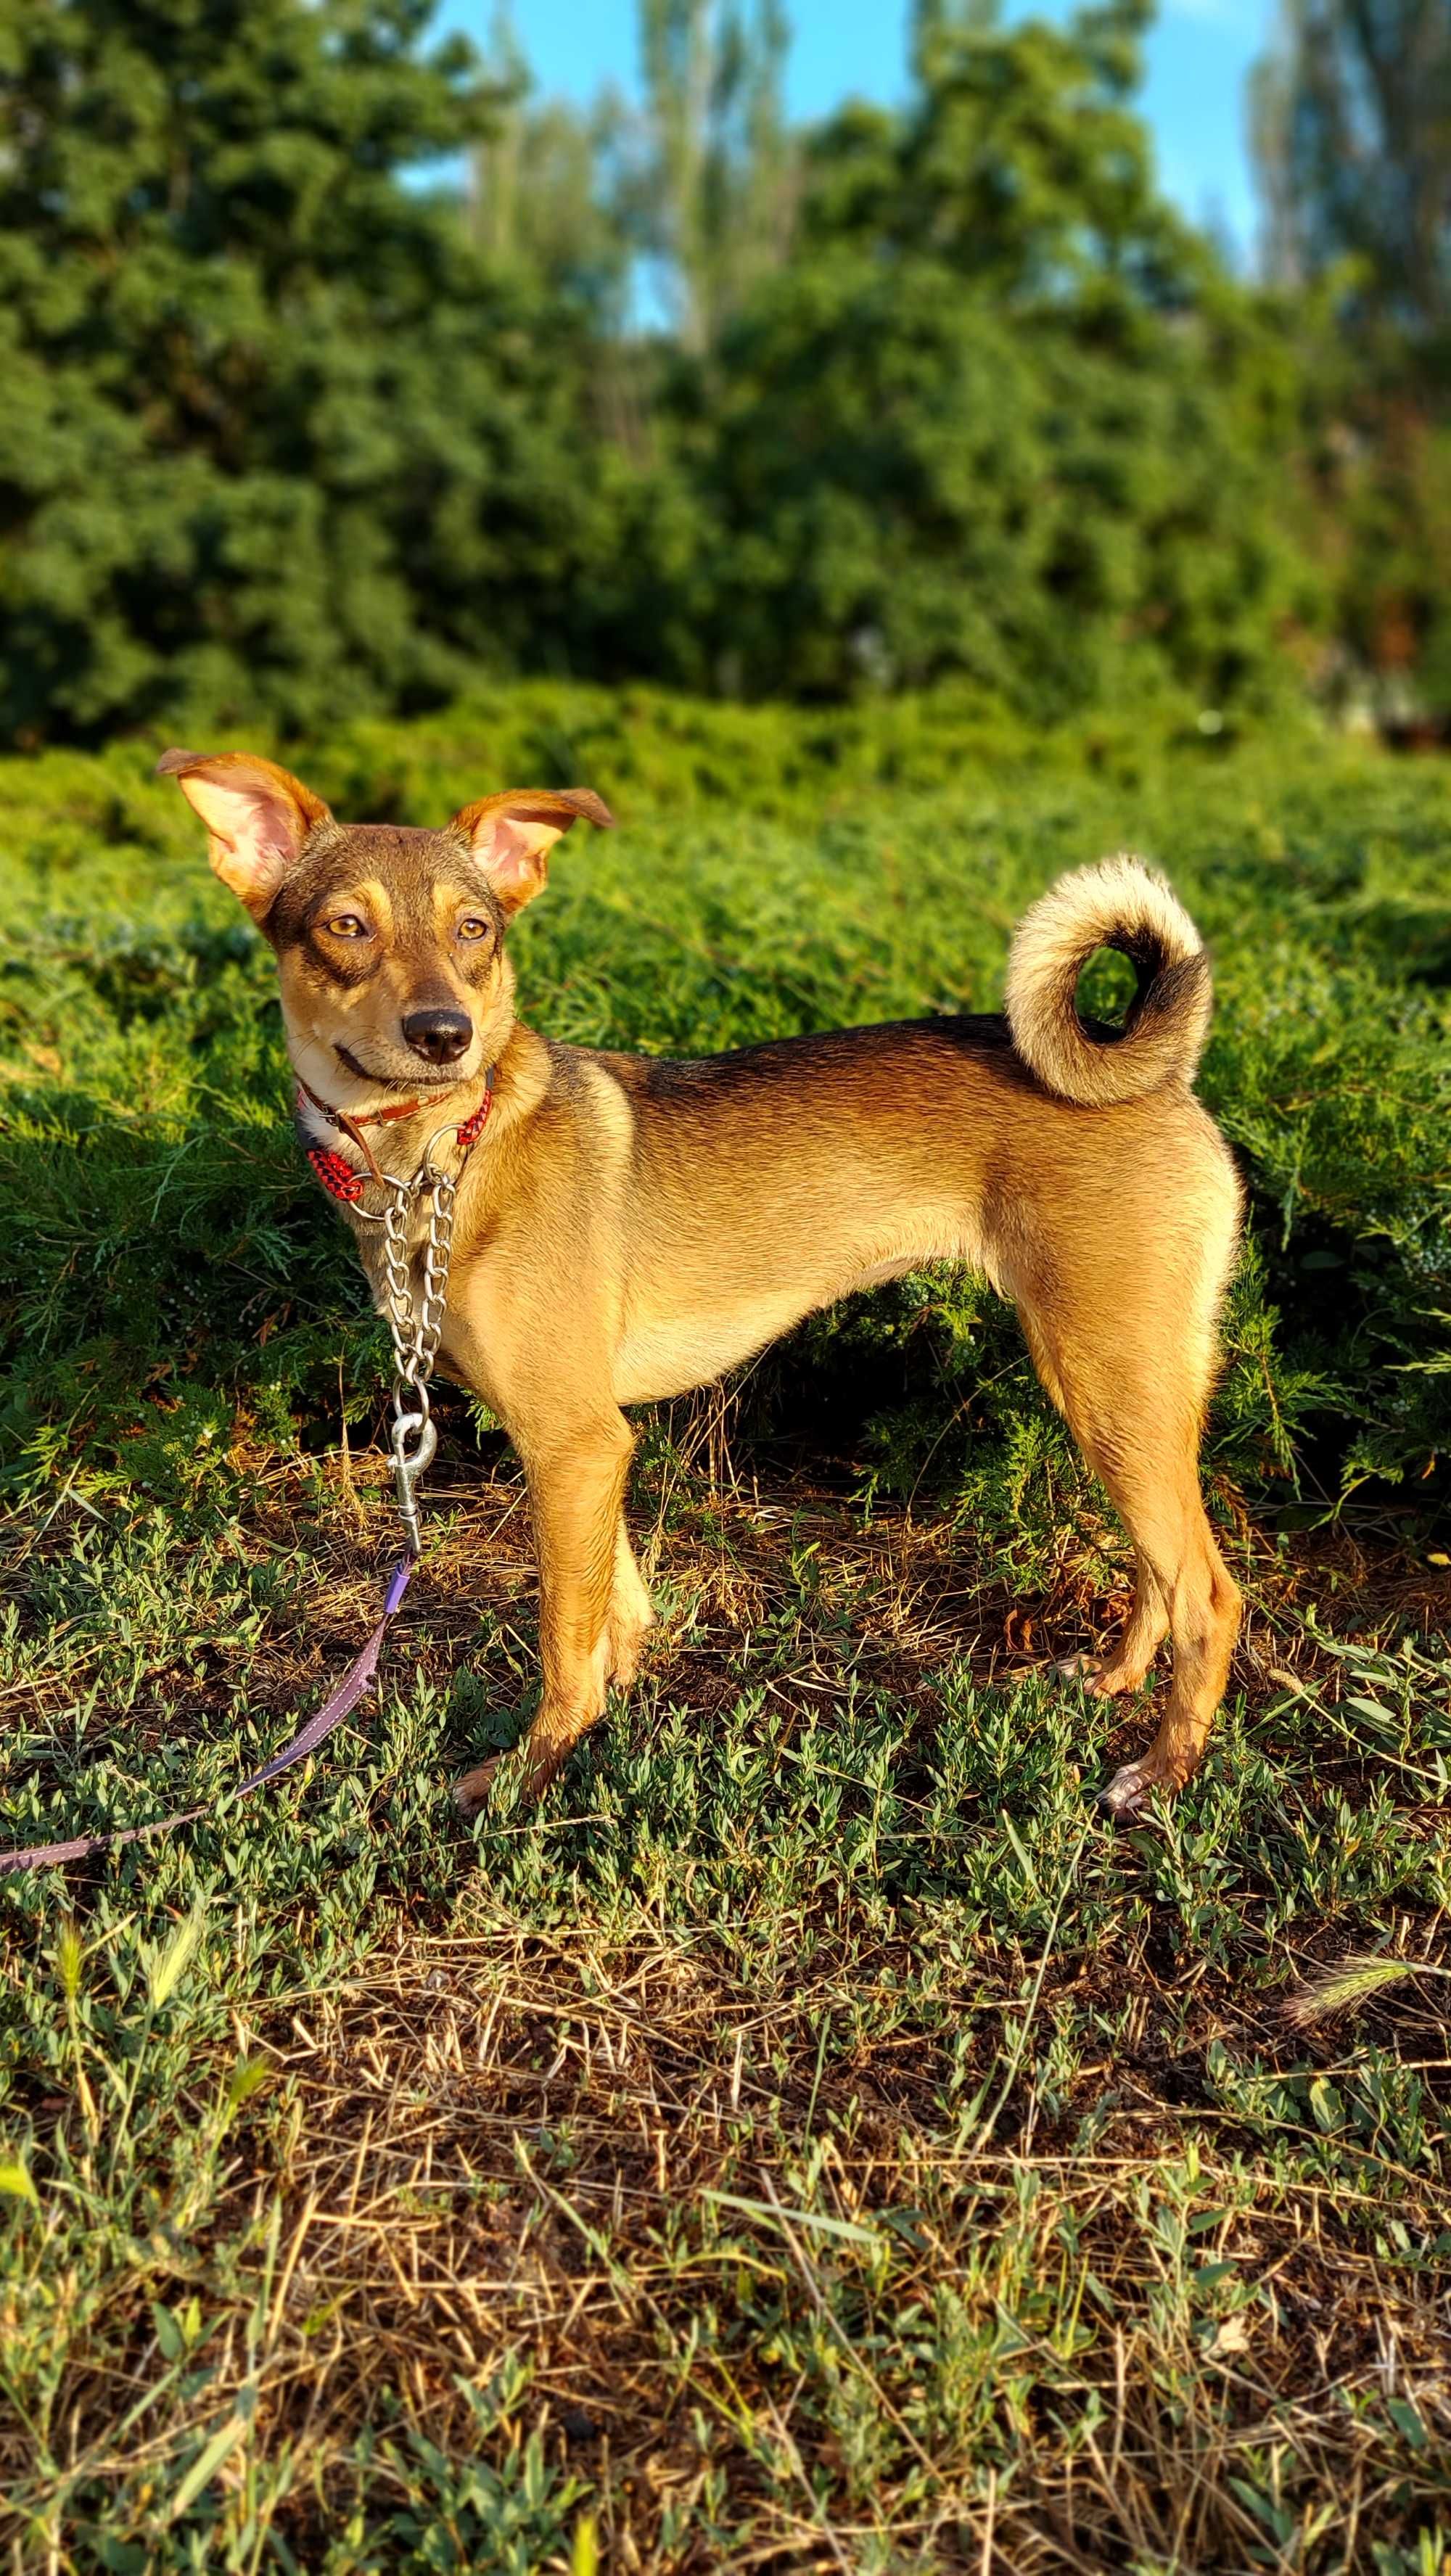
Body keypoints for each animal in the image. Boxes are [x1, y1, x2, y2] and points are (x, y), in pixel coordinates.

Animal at [161, 746, 1247, 1824]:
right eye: (346, 926)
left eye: (474, 929)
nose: (444, 1033)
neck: (441, 1150)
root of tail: (1157, 1072)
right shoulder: (581, 1447)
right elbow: (611, 1604)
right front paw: (614, 1702)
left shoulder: (574, 1442)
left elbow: (561, 1639)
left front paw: (530, 1771)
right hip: (1126, 1393)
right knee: (1161, 1568)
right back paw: (1112, 1678)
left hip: (1106, 1382)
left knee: (1208, 1593)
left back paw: (1164, 1771)